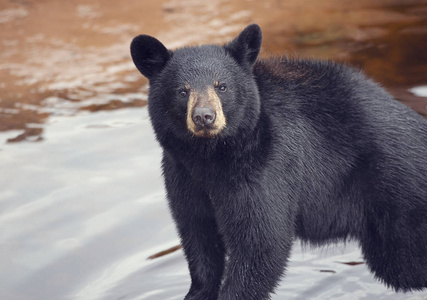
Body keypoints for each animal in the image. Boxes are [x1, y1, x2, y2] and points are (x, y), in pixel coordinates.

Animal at [131, 24, 427, 298]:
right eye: (182, 91)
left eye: (222, 86)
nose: (204, 117)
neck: (211, 156)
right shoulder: (181, 175)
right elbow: (198, 239)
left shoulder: (266, 166)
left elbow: (262, 243)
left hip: (397, 198)